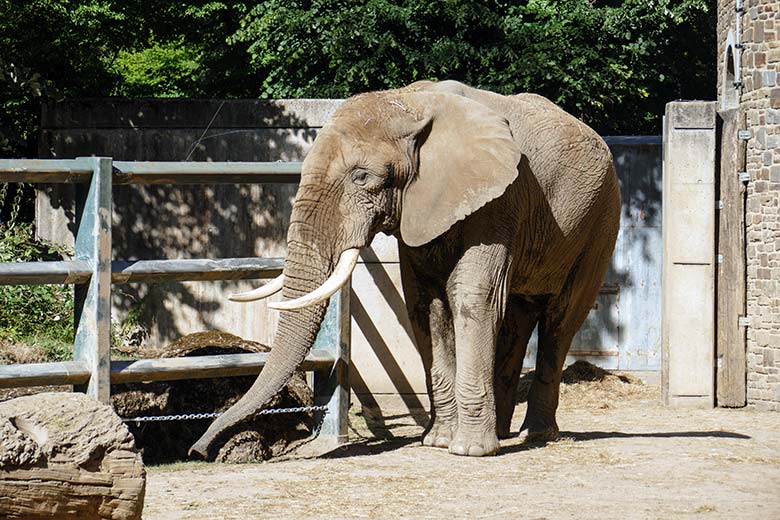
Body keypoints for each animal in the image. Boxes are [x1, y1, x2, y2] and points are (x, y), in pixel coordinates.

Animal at [190, 79, 620, 458]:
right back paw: (504, 432)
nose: (198, 450)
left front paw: (469, 451)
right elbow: (424, 303)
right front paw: (438, 442)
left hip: (601, 219)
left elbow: (472, 297)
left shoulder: (501, 198)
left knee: (561, 319)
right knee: (518, 313)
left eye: (362, 177)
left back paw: (535, 435)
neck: (410, 104)